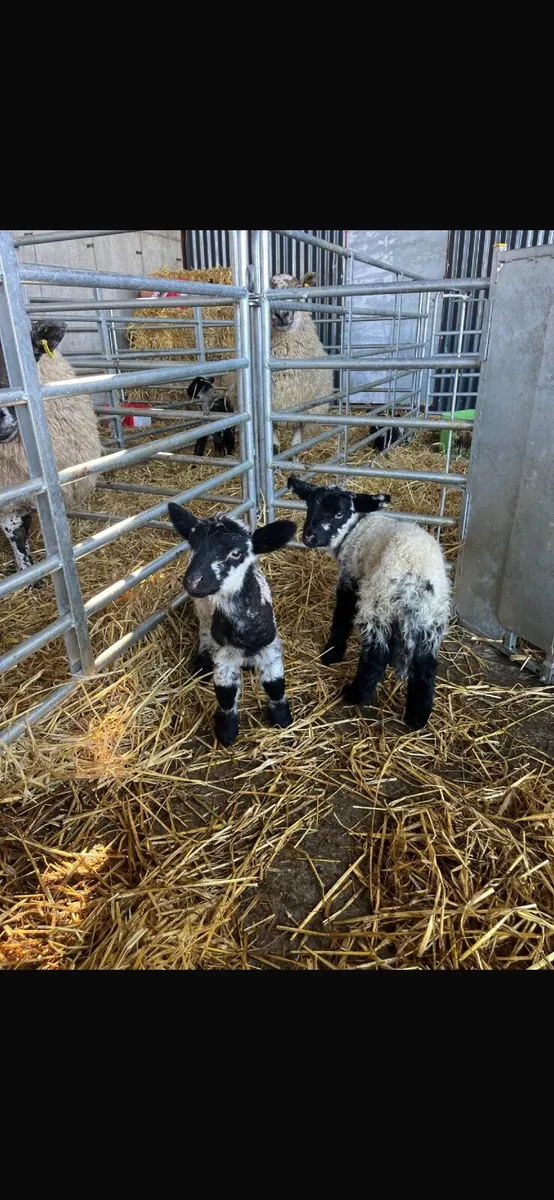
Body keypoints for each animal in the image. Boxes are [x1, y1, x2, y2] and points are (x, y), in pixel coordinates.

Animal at [168, 503, 296, 746]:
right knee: (204, 632)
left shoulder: (271, 646)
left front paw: (282, 718)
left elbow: (275, 685)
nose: (193, 581)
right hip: (202, 609)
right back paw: (202, 661)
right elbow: (225, 693)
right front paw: (226, 732)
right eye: (193, 544)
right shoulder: (223, 653)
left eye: (236, 553)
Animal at [288, 475, 450, 729]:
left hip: (377, 605)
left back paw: (355, 694)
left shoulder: (350, 576)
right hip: (431, 618)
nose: (309, 537)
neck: (356, 528)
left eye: (339, 514)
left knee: (375, 656)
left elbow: (341, 616)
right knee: (426, 667)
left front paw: (332, 653)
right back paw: (417, 718)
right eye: (310, 506)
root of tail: (413, 578)